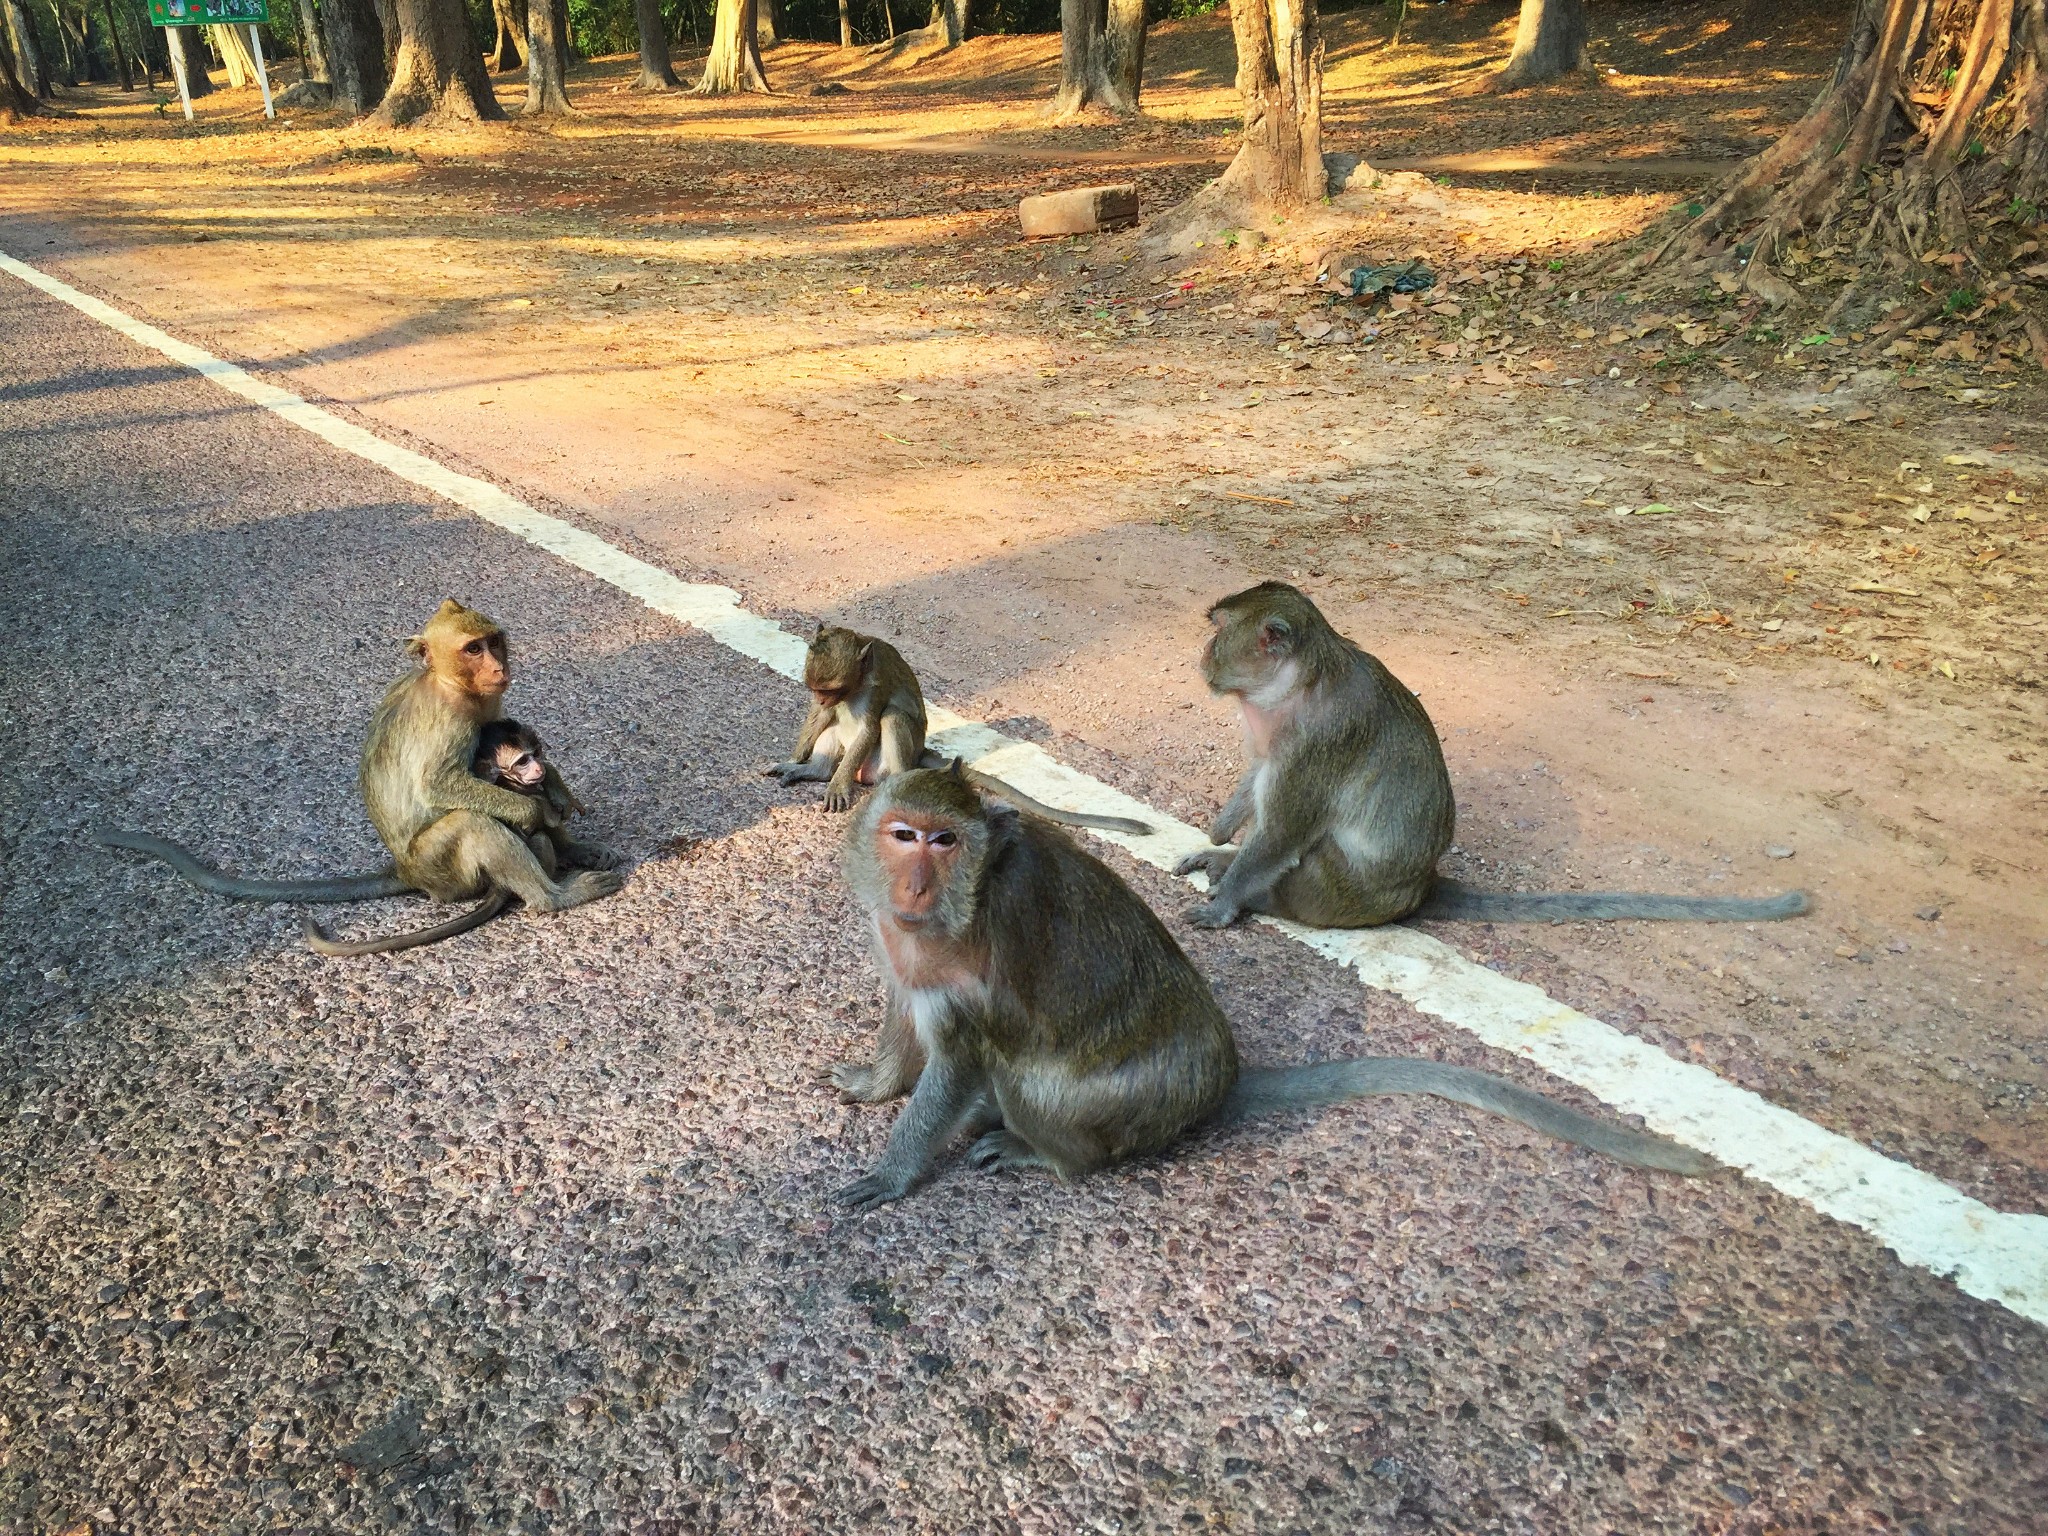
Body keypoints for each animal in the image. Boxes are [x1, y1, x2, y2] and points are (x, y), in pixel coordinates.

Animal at [301, 724, 598, 962]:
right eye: (523, 760)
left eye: (536, 753)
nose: (538, 767)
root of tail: (405, 871)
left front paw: (556, 787)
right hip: (446, 873)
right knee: (477, 822)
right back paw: (554, 897)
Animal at [765, 622, 1155, 843]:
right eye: (816, 689)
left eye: (831, 688)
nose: (821, 696)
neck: (855, 684)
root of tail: (918, 756)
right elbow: (821, 716)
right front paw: (796, 759)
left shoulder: (873, 686)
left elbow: (869, 726)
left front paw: (838, 785)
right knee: (835, 724)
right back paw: (817, 771)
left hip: (887, 763)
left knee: (892, 717)